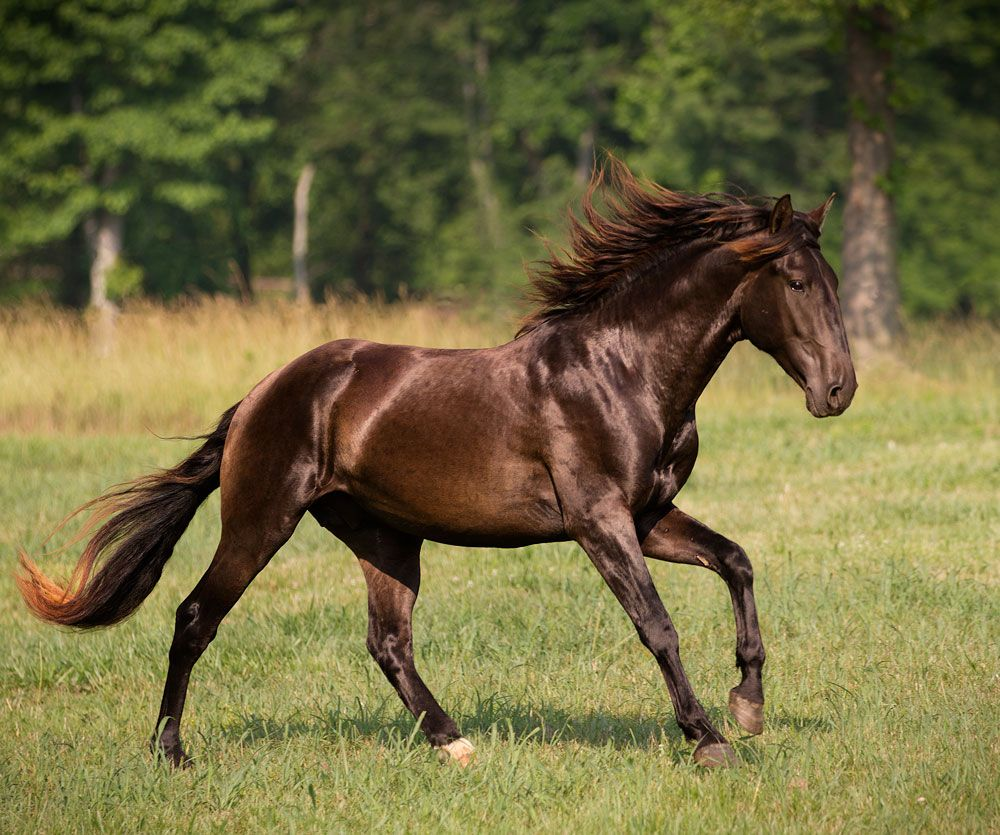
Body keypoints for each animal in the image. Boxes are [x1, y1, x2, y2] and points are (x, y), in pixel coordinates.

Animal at [15, 158, 856, 772]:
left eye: (835, 283)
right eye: (795, 282)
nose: (838, 389)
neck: (623, 371)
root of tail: (260, 393)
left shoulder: (648, 516)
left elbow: (736, 561)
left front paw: (749, 702)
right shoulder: (600, 522)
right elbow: (658, 624)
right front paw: (709, 738)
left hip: (384, 536)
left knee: (388, 641)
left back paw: (453, 741)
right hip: (262, 520)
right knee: (196, 615)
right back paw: (172, 751)